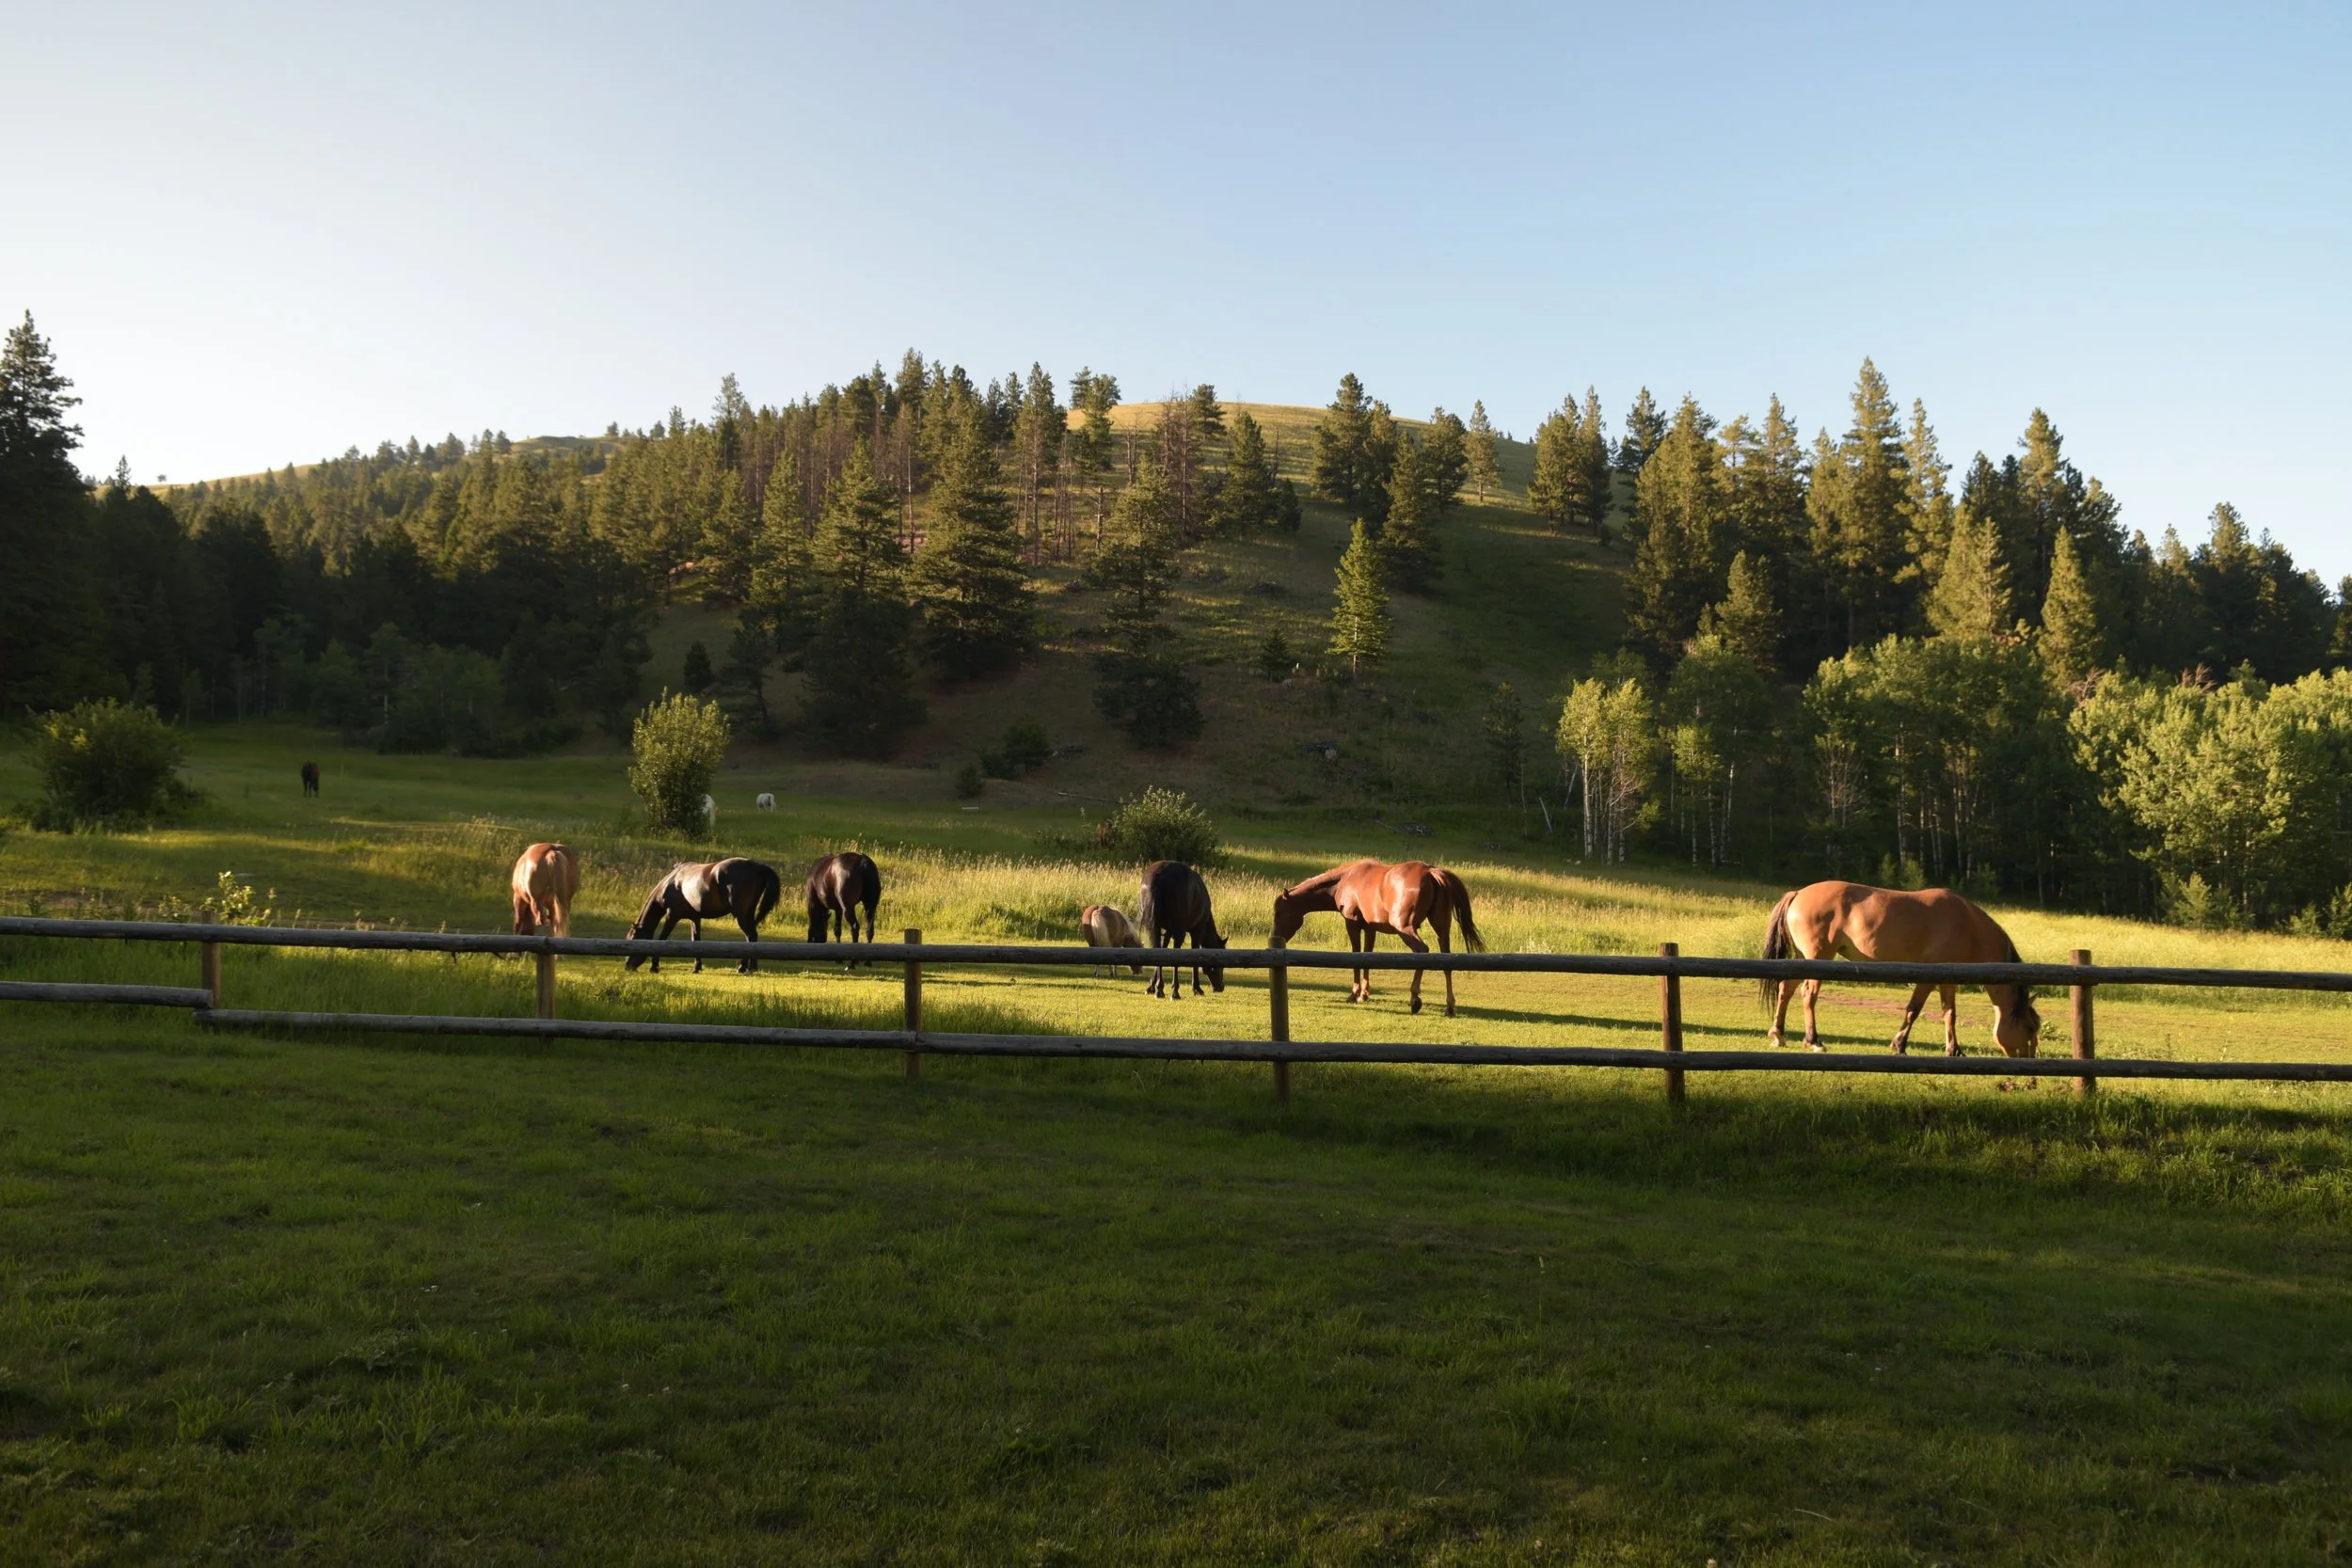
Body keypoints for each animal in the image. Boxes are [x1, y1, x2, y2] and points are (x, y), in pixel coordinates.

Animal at [623, 858, 783, 974]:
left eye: (633, 939)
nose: (627, 966)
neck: (672, 882)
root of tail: (755, 865)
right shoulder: (695, 918)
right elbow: (696, 940)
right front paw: (696, 967)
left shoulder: (672, 916)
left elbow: (662, 939)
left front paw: (654, 966)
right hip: (746, 914)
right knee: (750, 937)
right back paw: (743, 967)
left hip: (741, 915)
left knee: (751, 935)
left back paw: (749, 968)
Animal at [1138, 860, 1227, 998]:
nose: (1220, 987)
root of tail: (1160, 874)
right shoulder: (1197, 931)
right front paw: (1197, 988)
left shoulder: (1168, 932)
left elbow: (1162, 951)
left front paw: (1152, 986)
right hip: (1179, 932)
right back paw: (1175, 991)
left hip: (1154, 927)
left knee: (1157, 948)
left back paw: (1159, 989)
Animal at [1270, 859, 1483, 1016]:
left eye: (1279, 912)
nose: (1275, 936)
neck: (1346, 879)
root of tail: (1431, 872)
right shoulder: (1370, 928)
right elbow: (1368, 956)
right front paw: (1364, 994)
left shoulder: (1353, 924)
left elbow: (1356, 955)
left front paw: (1354, 994)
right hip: (1441, 930)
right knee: (1446, 961)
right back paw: (1450, 1006)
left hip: (1405, 928)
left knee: (1422, 951)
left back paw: (1415, 999)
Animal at [1761, 881, 2042, 1056]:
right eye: (2030, 1028)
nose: (2029, 1058)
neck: (1968, 924)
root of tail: (1798, 894)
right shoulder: (1928, 978)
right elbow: (1913, 1010)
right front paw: (1899, 1044)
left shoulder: (1949, 981)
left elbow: (1949, 1013)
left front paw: (1954, 1050)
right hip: (1818, 957)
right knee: (1808, 994)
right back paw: (1814, 1041)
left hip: (1803, 957)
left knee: (1786, 988)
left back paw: (1778, 1035)